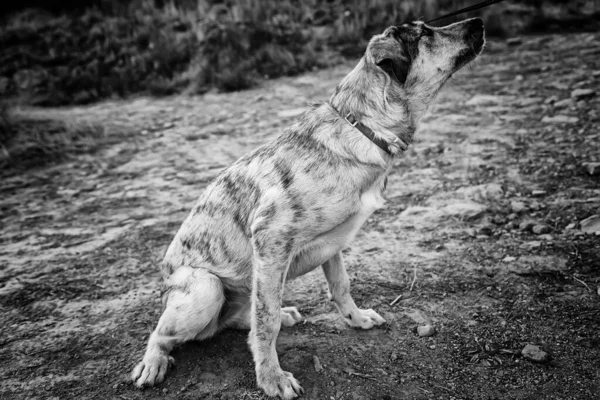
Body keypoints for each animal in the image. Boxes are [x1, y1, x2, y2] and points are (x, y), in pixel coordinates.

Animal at [130, 17, 482, 398]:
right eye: (426, 33)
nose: (479, 21)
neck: (363, 126)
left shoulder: (334, 245)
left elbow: (340, 286)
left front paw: (357, 319)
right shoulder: (271, 239)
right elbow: (266, 322)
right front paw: (271, 378)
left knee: (238, 318)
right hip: (204, 289)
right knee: (163, 332)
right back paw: (153, 363)